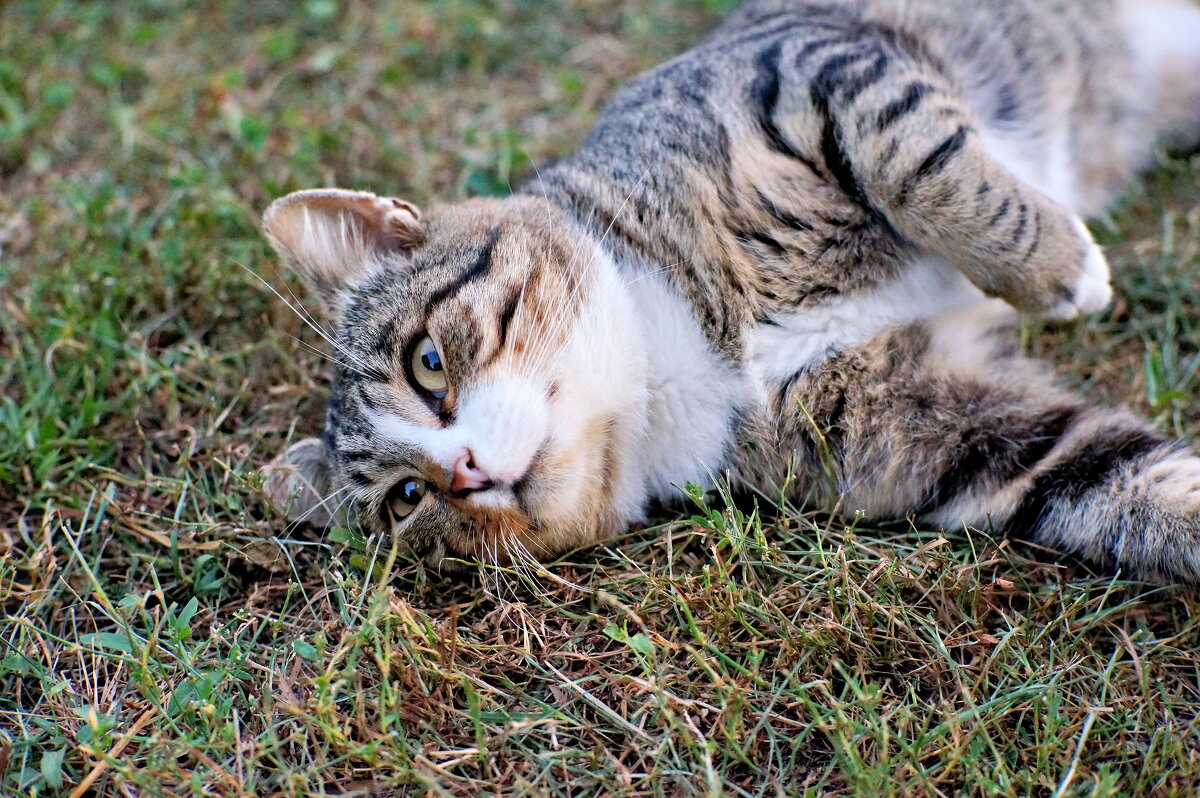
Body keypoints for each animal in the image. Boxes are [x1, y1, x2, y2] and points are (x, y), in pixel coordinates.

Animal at [260, 1, 1200, 585]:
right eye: (406, 502)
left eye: (426, 362)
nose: (462, 473)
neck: (670, 360)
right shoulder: (946, 433)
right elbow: (1112, 477)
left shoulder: (805, 68)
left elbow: (920, 166)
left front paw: (1058, 268)